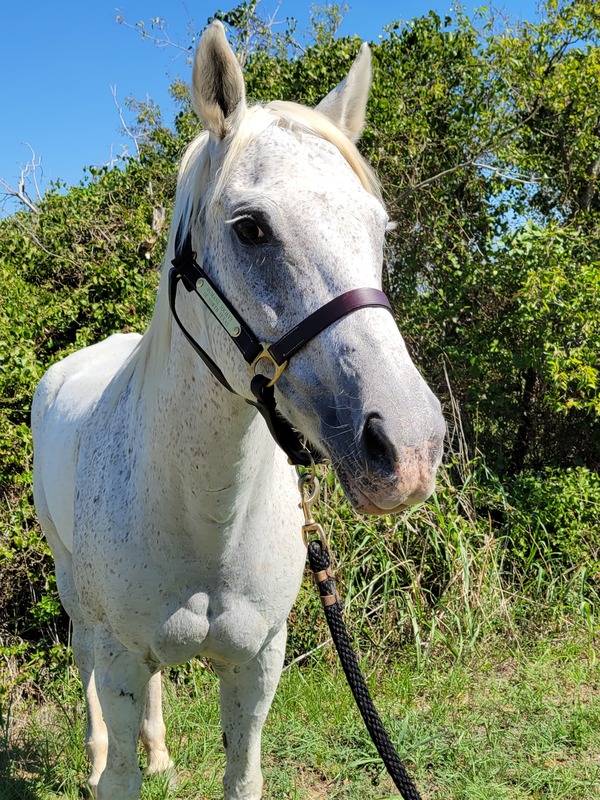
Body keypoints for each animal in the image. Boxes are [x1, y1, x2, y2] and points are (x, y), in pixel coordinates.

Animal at [32, 21, 446, 800]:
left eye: (378, 230)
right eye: (251, 228)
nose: (408, 447)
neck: (200, 513)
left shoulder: (257, 666)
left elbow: (241, 773)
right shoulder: (121, 654)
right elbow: (119, 768)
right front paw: (116, 764)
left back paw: (162, 753)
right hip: (78, 599)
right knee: (85, 666)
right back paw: (99, 752)